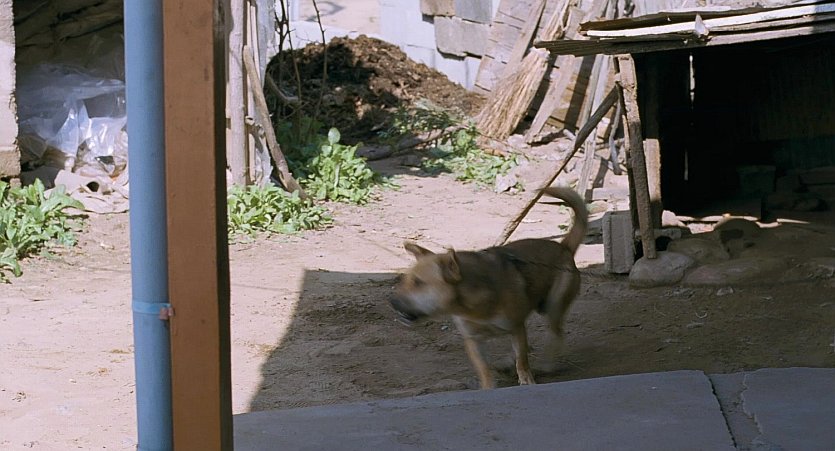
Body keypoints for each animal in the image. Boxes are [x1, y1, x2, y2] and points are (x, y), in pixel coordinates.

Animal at [390, 187, 588, 389]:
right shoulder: (473, 341)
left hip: (553, 307)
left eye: (418, 282)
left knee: (555, 336)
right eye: (405, 280)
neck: (473, 307)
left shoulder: (516, 327)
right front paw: (488, 386)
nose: (391, 301)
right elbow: (485, 369)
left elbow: (522, 361)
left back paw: (546, 365)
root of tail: (564, 247)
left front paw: (526, 380)